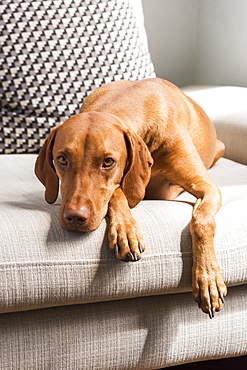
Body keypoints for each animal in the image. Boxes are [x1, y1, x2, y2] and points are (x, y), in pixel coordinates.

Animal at [35, 78, 228, 318]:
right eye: (62, 159)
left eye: (108, 162)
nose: (75, 218)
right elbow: (117, 191)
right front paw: (126, 232)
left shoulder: (207, 187)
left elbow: (202, 221)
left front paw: (208, 278)